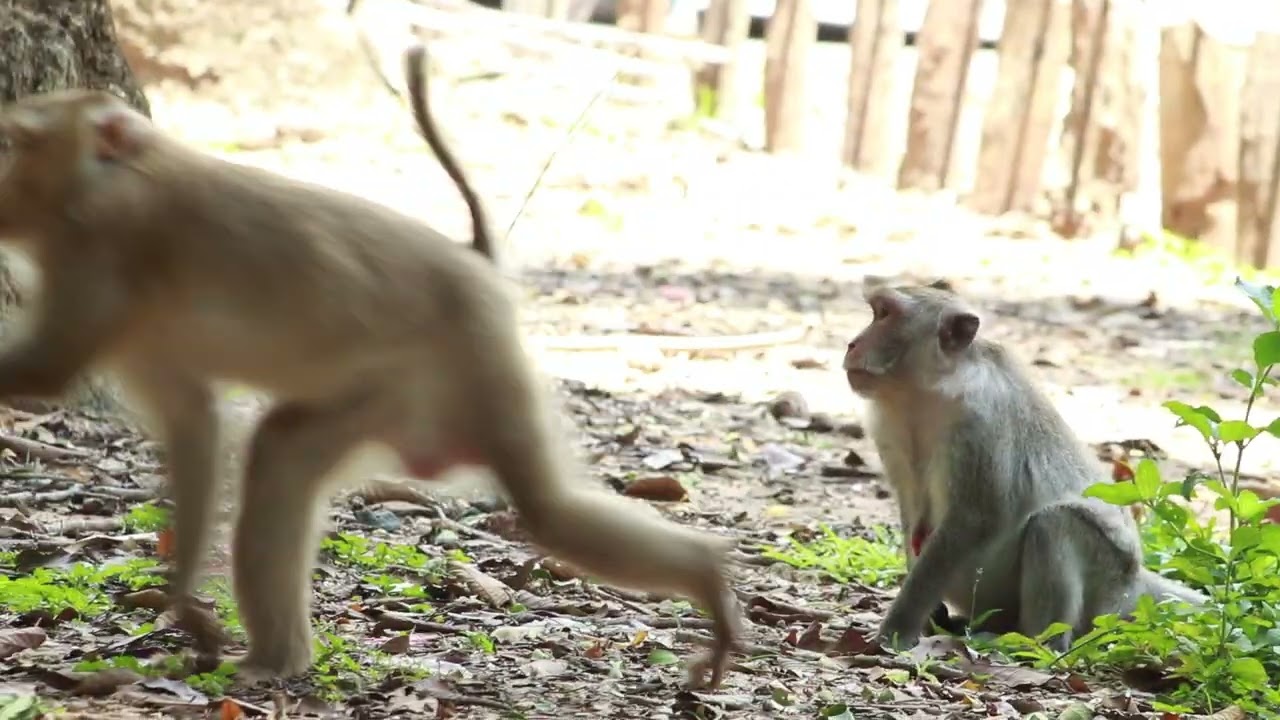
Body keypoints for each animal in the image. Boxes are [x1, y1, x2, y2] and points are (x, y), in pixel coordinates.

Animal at [0, 46, 738, 689]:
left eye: (16, 141)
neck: (110, 176)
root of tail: (477, 265)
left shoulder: (100, 250)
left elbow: (49, 370)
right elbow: (193, 424)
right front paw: (182, 600)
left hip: (474, 356)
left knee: (546, 508)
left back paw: (705, 575)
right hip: (394, 398)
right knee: (284, 452)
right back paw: (278, 657)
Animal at [841, 281, 1206, 653]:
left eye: (885, 314)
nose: (852, 344)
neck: (927, 395)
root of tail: (1135, 583)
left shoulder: (982, 424)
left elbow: (974, 519)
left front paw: (895, 631)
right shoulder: (886, 425)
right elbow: (911, 513)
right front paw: (927, 620)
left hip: (1108, 584)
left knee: (1054, 523)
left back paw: (1034, 642)